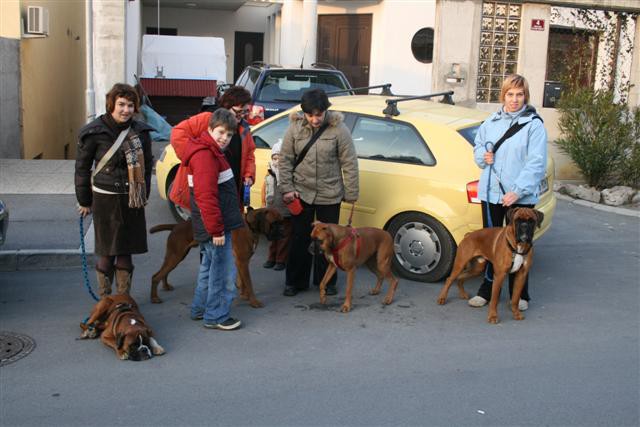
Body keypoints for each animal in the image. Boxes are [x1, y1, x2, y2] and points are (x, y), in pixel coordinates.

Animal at [149, 207, 282, 308]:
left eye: (281, 222)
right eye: (274, 223)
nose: (283, 231)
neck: (249, 226)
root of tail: (176, 225)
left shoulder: (241, 262)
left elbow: (243, 281)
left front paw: (244, 295)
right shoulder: (242, 262)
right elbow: (249, 283)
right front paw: (254, 301)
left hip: (176, 256)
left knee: (164, 272)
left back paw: (166, 286)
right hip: (175, 256)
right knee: (155, 276)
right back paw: (154, 298)